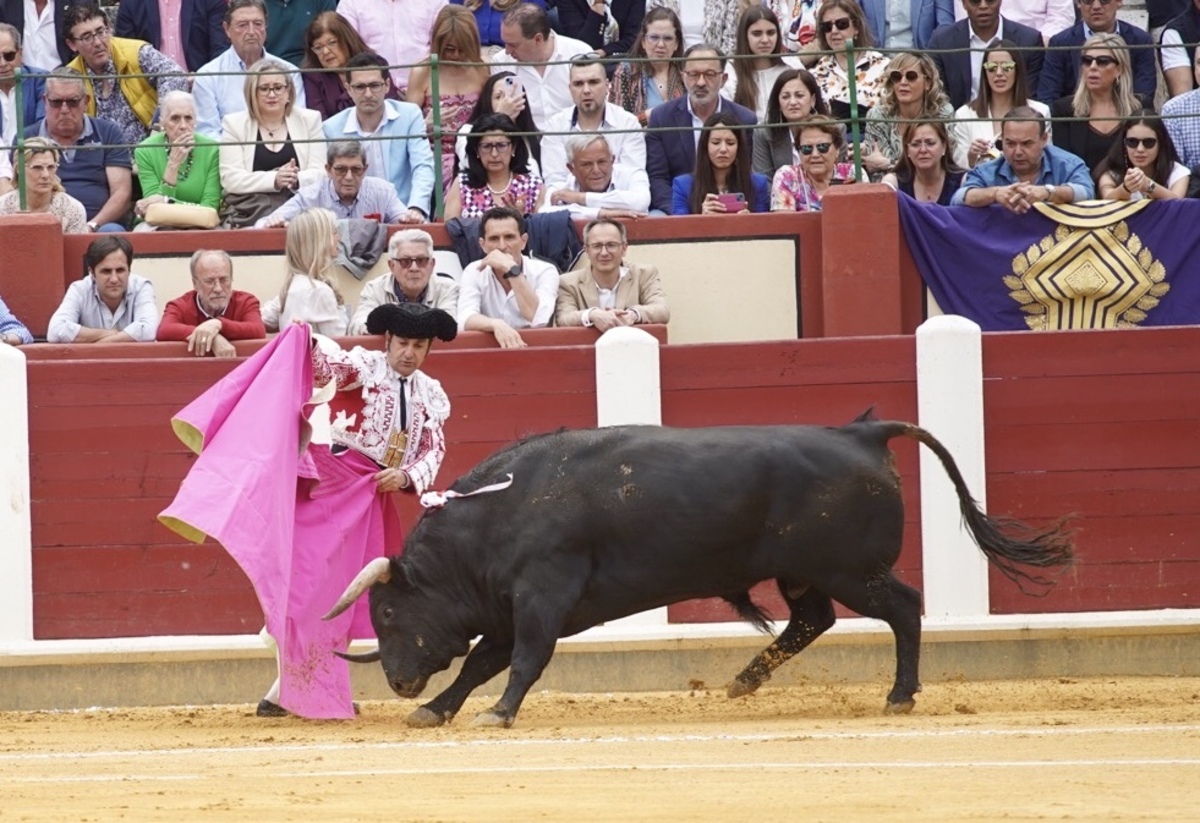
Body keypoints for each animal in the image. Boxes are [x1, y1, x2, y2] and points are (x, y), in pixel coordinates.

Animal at [324, 419, 1075, 729]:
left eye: (385, 612)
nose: (397, 680)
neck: (498, 513)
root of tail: (860, 432)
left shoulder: (542, 595)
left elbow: (521, 661)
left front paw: (497, 714)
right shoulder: (514, 605)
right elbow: (484, 659)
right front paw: (435, 709)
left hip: (850, 568)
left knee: (904, 606)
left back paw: (899, 696)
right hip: (802, 570)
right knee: (812, 618)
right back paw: (742, 681)